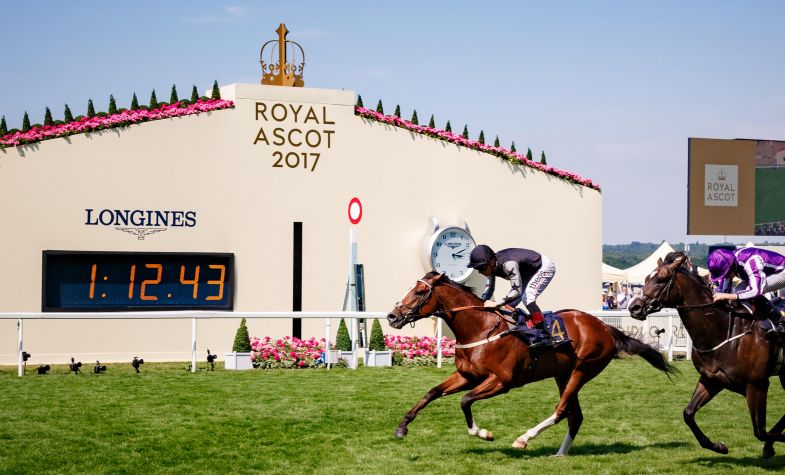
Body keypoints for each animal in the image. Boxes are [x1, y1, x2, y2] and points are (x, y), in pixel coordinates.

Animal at [386, 272, 672, 454]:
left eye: (420, 292)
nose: (392, 316)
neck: (480, 328)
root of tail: (605, 327)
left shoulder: (501, 381)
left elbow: (465, 401)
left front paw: (483, 433)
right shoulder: (467, 376)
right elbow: (431, 392)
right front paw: (402, 427)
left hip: (582, 370)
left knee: (562, 410)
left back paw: (524, 439)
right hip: (563, 374)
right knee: (575, 416)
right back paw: (559, 454)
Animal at [628, 251, 785, 460]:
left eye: (661, 279)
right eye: (646, 279)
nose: (634, 307)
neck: (724, 330)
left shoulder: (757, 385)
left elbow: (761, 431)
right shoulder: (712, 379)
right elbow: (688, 413)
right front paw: (719, 446)